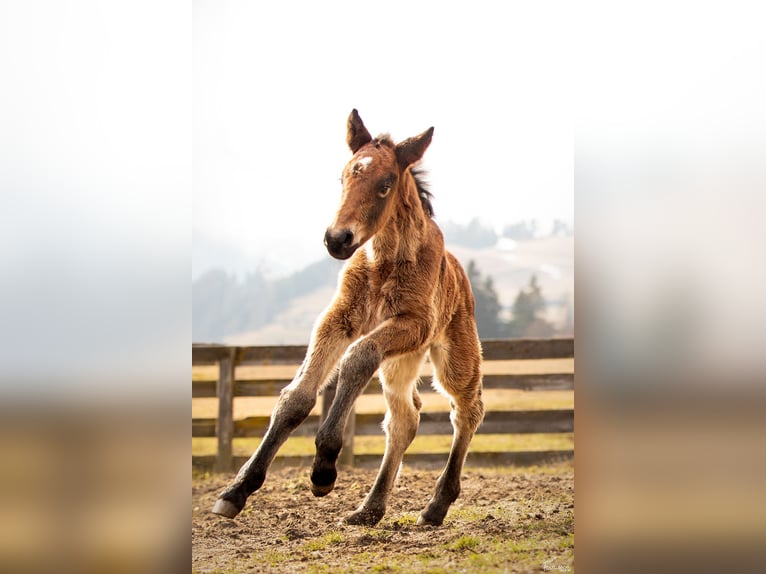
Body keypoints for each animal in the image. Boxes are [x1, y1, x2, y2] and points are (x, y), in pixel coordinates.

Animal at [212, 109, 484, 527]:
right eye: (343, 177)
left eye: (386, 184)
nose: (337, 239)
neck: (382, 262)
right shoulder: (338, 319)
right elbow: (297, 396)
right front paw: (236, 491)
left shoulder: (413, 323)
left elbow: (358, 357)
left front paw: (324, 468)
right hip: (401, 363)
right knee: (404, 420)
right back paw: (368, 510)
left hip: (451, 351)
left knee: (467, 409)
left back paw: (436, 506)